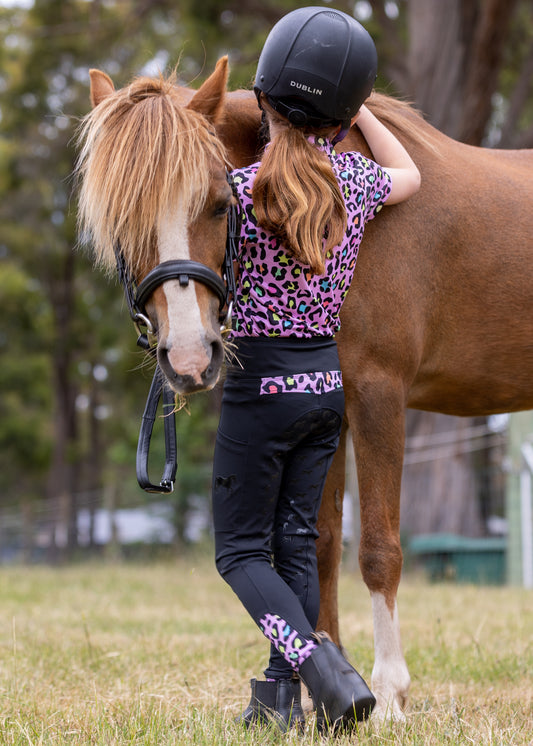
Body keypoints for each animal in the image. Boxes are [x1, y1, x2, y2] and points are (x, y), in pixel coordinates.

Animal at [76, 55, 533, 716]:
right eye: (122, 221)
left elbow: (378, 550)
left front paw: (389, 694)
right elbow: (320, 548)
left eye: (219, 204)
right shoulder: (330, 412)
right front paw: (329, 688)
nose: (189, 357)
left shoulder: (377, 393)